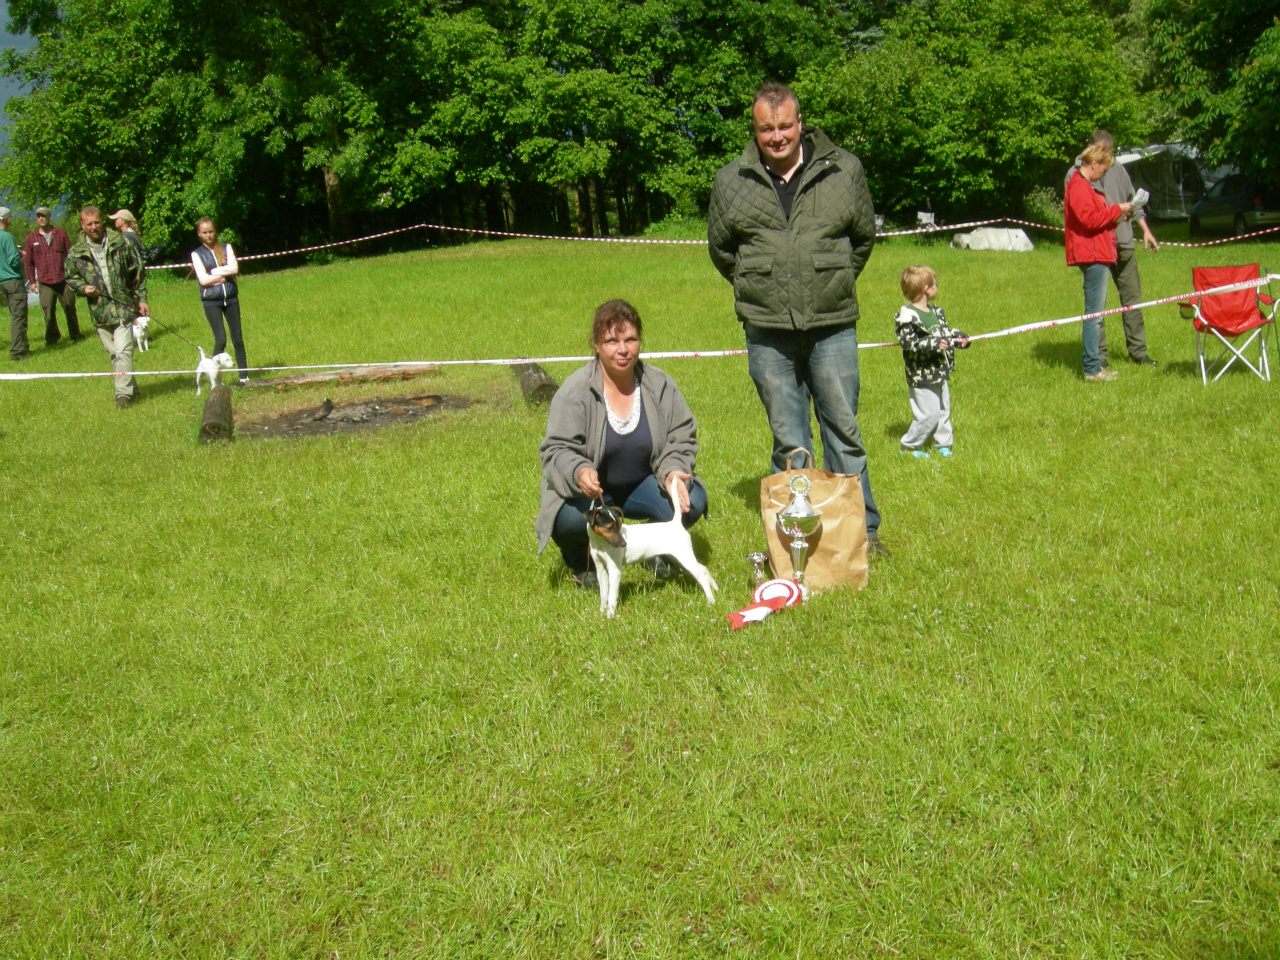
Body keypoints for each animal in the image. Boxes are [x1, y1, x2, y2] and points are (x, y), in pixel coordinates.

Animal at [583, 478, 716, 619]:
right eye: (609, 528)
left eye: (619, 526)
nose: (624, 544)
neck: (601, 543)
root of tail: (675, 523)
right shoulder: (601, 569)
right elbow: (604, 594)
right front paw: (602, 612)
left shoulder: (614, 570)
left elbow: (612, 596)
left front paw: (610, 615)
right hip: (680, 557)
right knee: (703, 568)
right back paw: (715, 588)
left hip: (684, 557)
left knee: (701, 575)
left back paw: (711, 600)